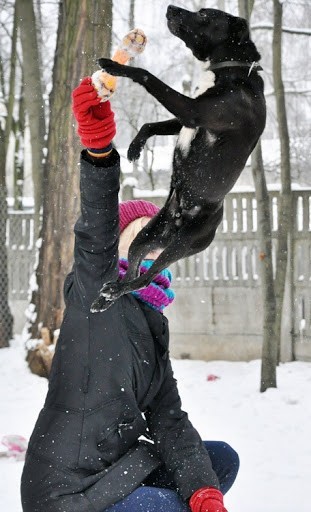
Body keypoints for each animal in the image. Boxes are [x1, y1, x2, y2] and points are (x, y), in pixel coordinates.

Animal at [91, 6, 266, 314]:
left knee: (145, 279)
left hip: (181, 246)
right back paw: (108, 295)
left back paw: (114, 291)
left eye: (205, 15)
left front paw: (116, 67)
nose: (170, 8)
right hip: (146, 237)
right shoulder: (188, 115)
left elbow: (147, 75)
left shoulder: (194, 110)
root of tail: (177, 219)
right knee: (135, 270)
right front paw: (135, 146)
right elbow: (152, 125)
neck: (231, 68)